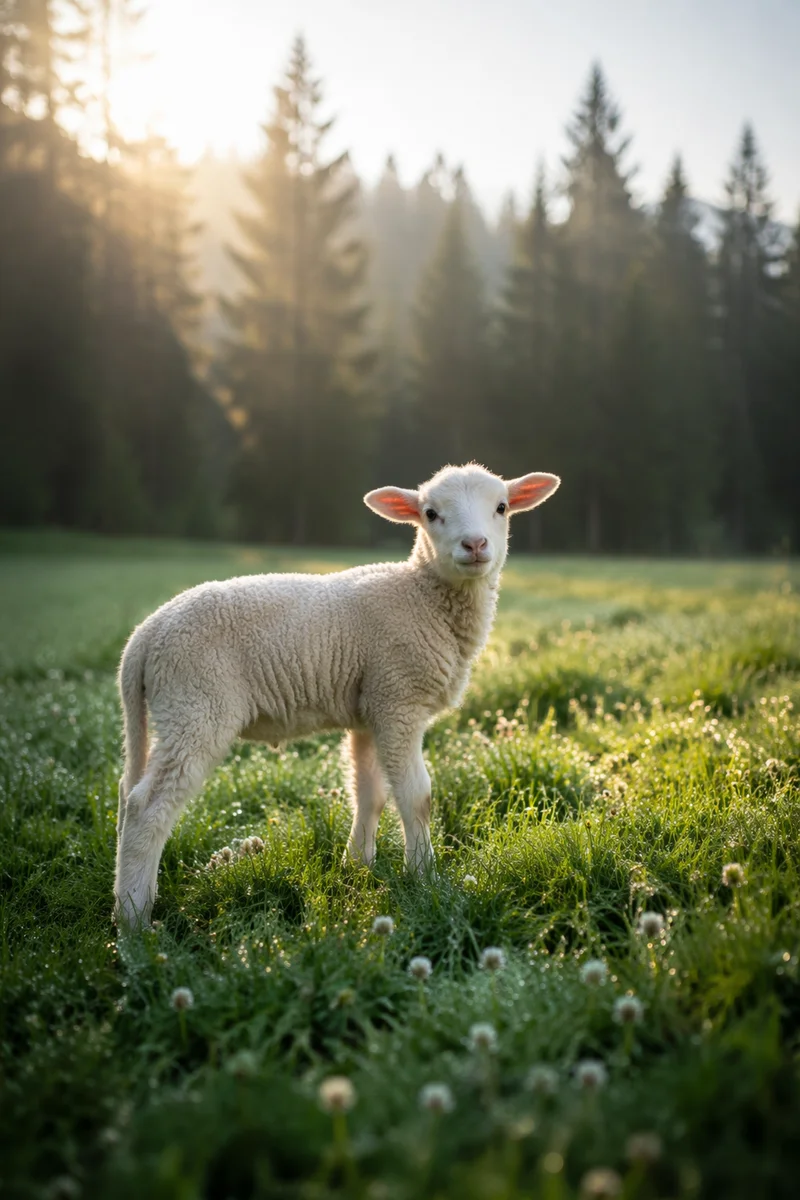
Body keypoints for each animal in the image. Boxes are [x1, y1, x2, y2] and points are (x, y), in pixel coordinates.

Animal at [114, 463, 560, 927]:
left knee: (127, 798)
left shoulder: (371, 707)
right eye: (431, 513)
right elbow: (416, 797)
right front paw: (425, 878)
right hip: (196, 705)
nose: (474, 545)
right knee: (147, 806)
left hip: (174, 709)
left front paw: (357, 866)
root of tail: (143, 638)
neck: (423, 596)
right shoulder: (398, 699)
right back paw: (135, 920)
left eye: (502, 507)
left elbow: (370, 794)